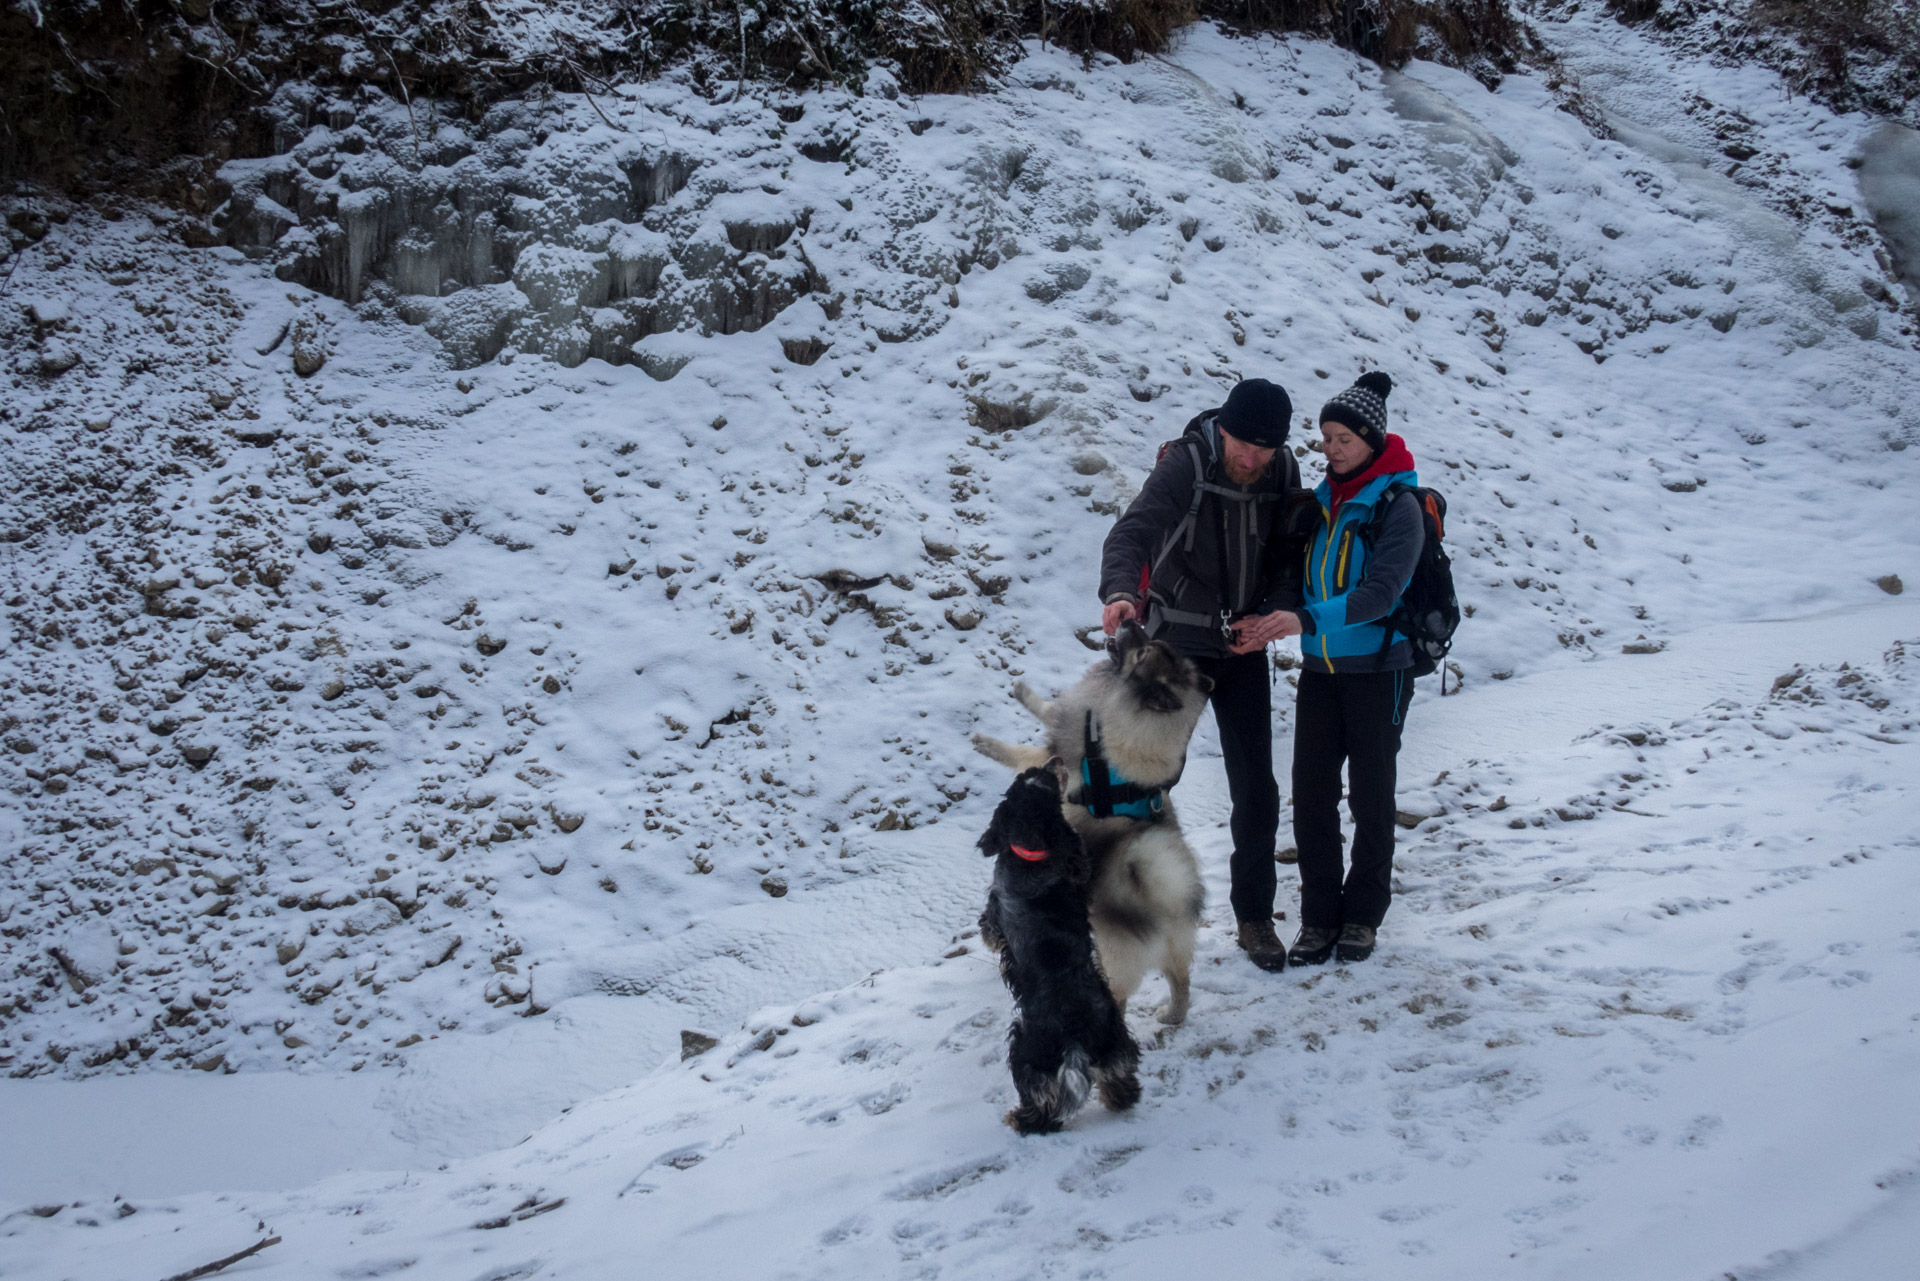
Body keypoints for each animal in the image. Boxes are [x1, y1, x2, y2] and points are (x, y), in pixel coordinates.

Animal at [975, 614, 1213, 1029]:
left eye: (1142, 652)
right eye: (1150, 643)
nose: (1130, 618)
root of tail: (1163, 901)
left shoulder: (1052, 756)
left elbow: (1023, 747)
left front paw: (989, 742)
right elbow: (1048, 710)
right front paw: (1024, 693)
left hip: (1112, 961)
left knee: (1120, 997)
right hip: (1178, 948)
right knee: (1181, 981)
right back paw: (1171, 1016)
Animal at [975, 760, 1136, 1129]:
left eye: (1045, 778)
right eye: (1028, 776)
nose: (1055, 761)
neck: (1032, 851)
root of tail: (1074, 1035)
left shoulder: (995, 909)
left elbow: (989, 929)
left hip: (1025, 1049)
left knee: (1041, 1100)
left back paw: (1020, 1119)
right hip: (1112, 1035)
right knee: (1118, 1072)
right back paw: (1122, 1099)